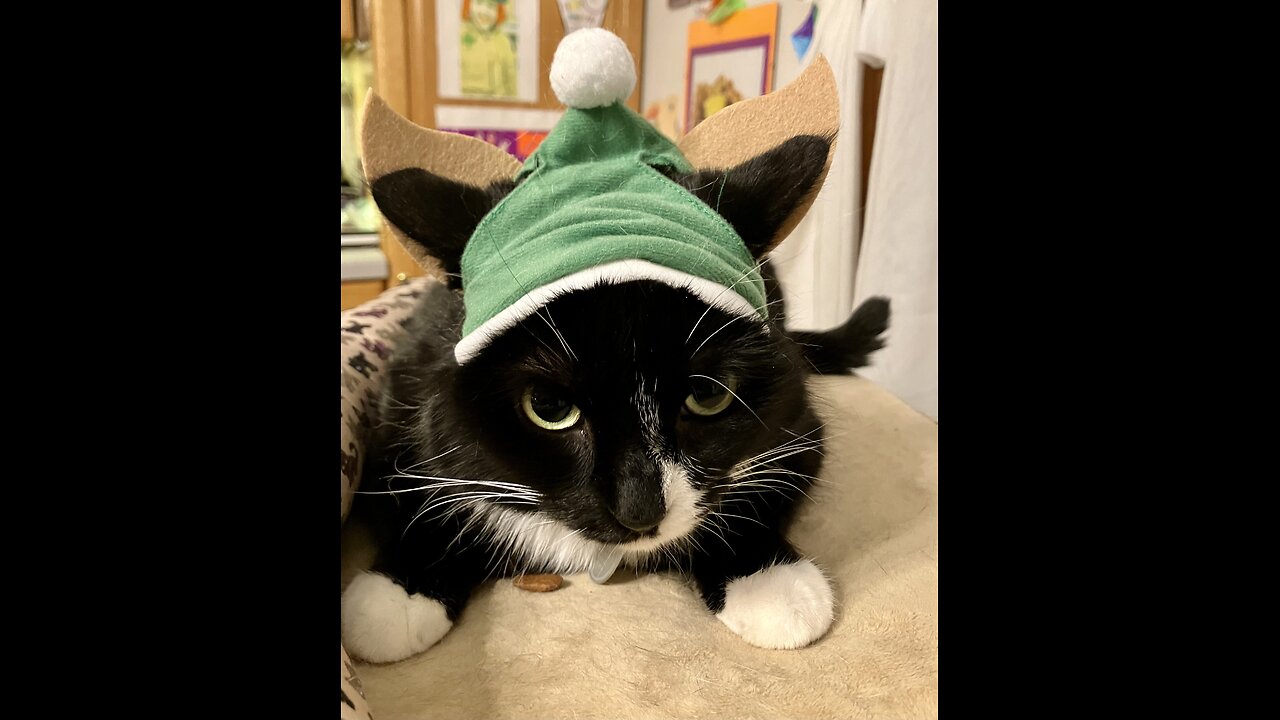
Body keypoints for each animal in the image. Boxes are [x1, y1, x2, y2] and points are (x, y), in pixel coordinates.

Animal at [340, 133, 890, 661]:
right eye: (548, 408)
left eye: (707, 394)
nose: (640, 511)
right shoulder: (402, 407)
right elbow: (407, 492)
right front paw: (399, 595)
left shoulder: (797, 427)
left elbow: (765, 488)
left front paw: (772, 583)